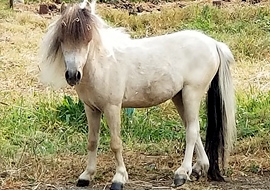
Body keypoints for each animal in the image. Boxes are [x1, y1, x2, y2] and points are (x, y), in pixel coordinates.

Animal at [38, 0, 236, 189]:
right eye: (62, 38)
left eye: (87, 38)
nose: (73, 75)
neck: (102, 64)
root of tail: (213, 43)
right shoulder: (91, 109)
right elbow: (92, 141)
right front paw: (86, 176)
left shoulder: (112, 107)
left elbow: (115, 143)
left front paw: (119, 178)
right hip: (179, 97)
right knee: (191, 126)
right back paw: (198, 169)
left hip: (191, 93)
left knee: (192, 130)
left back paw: (181, 173)